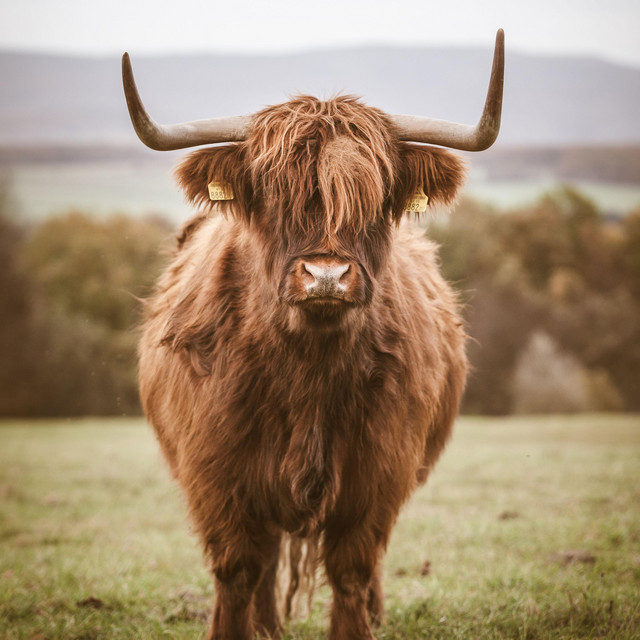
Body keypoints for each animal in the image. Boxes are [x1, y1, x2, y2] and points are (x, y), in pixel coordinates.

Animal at [123, 30, 504, 640]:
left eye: (375, 199)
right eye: (272, 195)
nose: (327, 274)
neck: (308, 371)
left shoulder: (379, 473)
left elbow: (352, 568)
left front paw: (359, 622)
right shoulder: (217, 475)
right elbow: (238, 569)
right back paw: (267, 626)